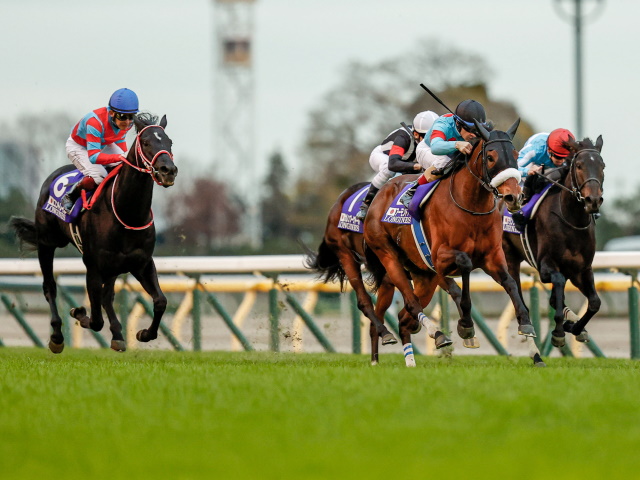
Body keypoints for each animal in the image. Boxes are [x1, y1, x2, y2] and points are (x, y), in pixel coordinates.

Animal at [10, 112, 179, 352]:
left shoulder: (142, 263)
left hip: (113, 266)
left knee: (107, 296)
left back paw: (117, 333)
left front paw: (144, 333)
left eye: (169, 142)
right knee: (50, 286)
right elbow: (96, 319)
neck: (128, 213)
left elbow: (160, 301)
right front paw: (78, 312)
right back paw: (57, 336)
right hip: (47, 243)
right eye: (146, 142)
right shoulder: (93, 265)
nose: (168, 171)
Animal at [364, 120, 544, 368]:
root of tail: (378, 197)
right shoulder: (441, 257)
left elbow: (510, 283)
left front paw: (526, 325)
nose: (513, 197)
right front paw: (466, 325)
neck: (471, 207)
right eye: (490, 157)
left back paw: (407, 361)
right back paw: (433, 335)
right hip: (389, 257)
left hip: (423, 276)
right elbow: (465, 267)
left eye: (516, 155)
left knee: (404, 316)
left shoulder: (492, 257)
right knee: (410, 302)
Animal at [502, 137, 604, 350]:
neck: (572, 221)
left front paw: (574, 327)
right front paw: (558, 331)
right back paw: (526, 323)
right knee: (516, 289)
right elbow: (557, 283)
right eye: (579, 165)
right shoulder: (546, 266)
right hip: (509, 255)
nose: (593, 200)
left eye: (602, 166)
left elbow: (594, 302)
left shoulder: (581, 270)